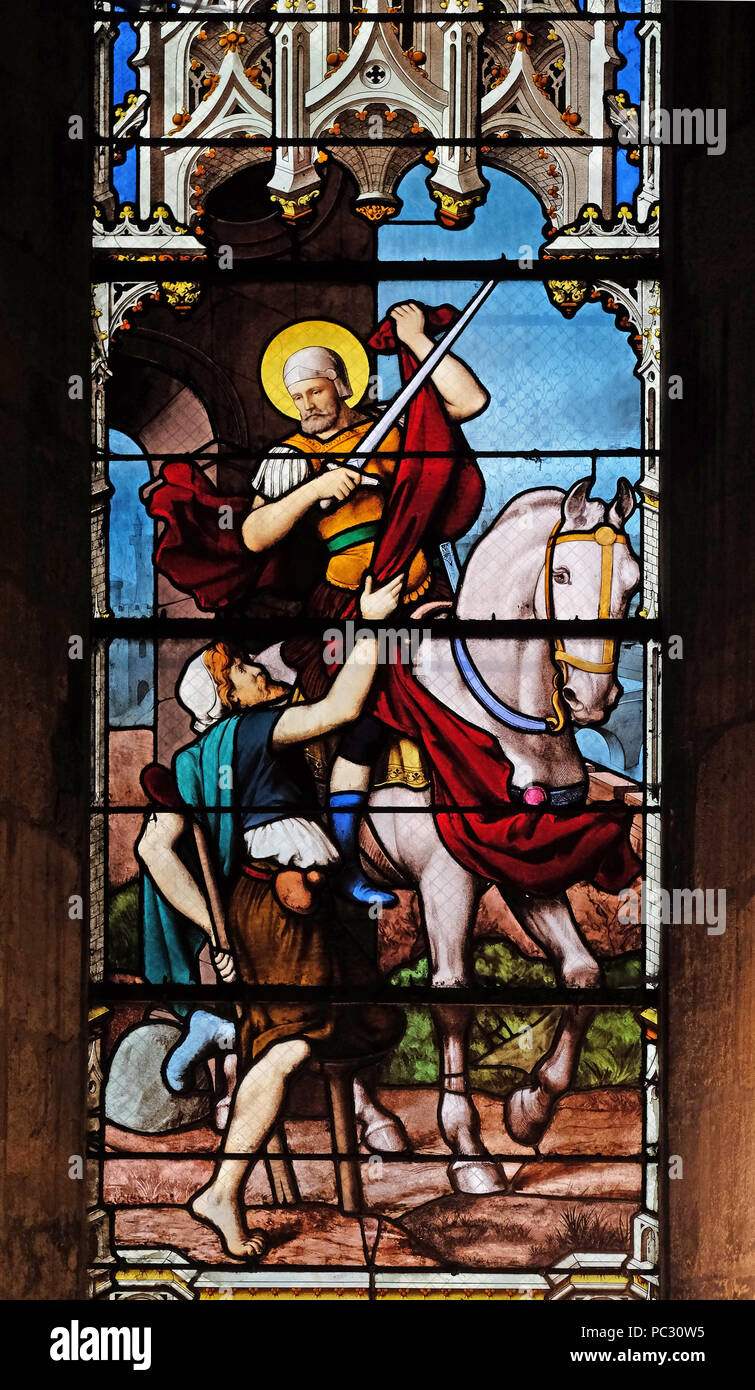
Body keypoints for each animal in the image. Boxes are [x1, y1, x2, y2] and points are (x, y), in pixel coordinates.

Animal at [358, 478, 639, 1195]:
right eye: (560, 574)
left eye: (632, 585)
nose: (593, 700)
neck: (499, 723)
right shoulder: (446, 881)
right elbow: (454, 999)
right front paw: (468, 1150)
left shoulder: (527, 871)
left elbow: (583, 974)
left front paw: (530, 1109)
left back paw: (375, 1122)